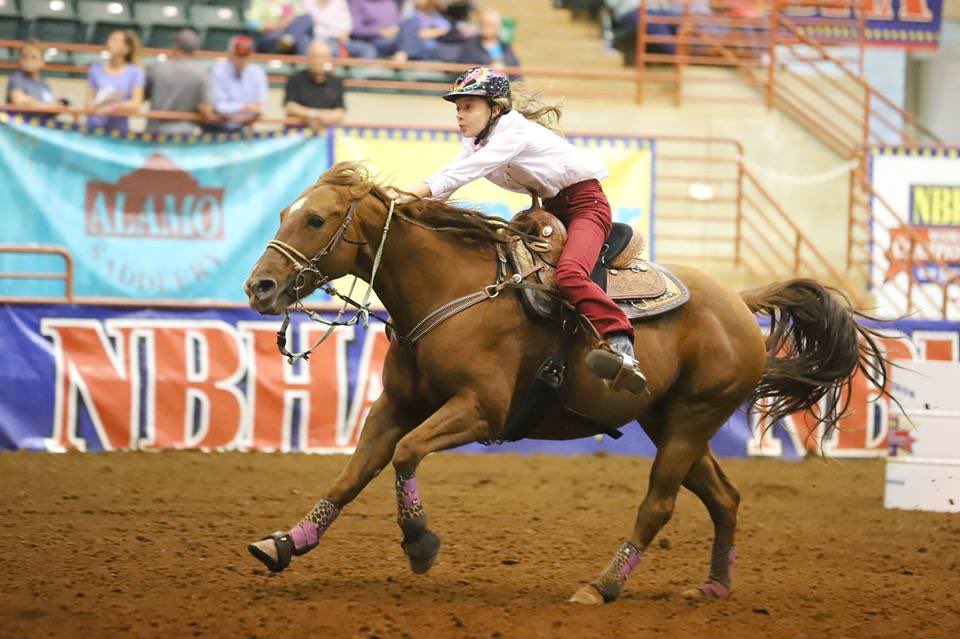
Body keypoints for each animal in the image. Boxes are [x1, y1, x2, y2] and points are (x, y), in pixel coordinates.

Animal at [242, 161, 892, 604]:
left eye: (316, 218)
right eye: (282, 214)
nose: (259, 288)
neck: (451, 289)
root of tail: (738, 299)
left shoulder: (479, 410)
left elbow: (404, 455)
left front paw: (421, 544)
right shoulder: (395, 405)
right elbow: (354, 473)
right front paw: (285, 543)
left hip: (691, 420)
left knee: (658, 506)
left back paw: (601, 587)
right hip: (669, 421)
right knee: (724, 498)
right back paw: (712, 588)